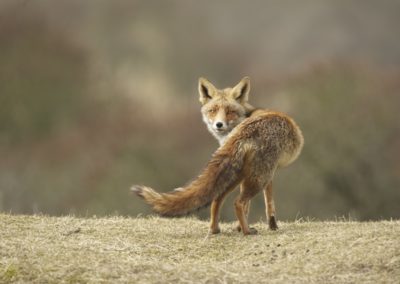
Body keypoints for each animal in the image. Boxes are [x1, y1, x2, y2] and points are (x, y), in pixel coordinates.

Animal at [131, 76, 304, 234]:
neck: (247, 115)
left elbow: (268, 203)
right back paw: (247, 231)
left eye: (230, 111)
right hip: (257, 177)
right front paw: (266, 226)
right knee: (238, 202)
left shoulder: (267, 175)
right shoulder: (269, 175)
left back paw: (215, 229)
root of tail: (243, 132)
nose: (218, 125)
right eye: (213, 110)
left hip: (239, 174)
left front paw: (270, 225)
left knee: (217, 198)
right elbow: (266, 203)